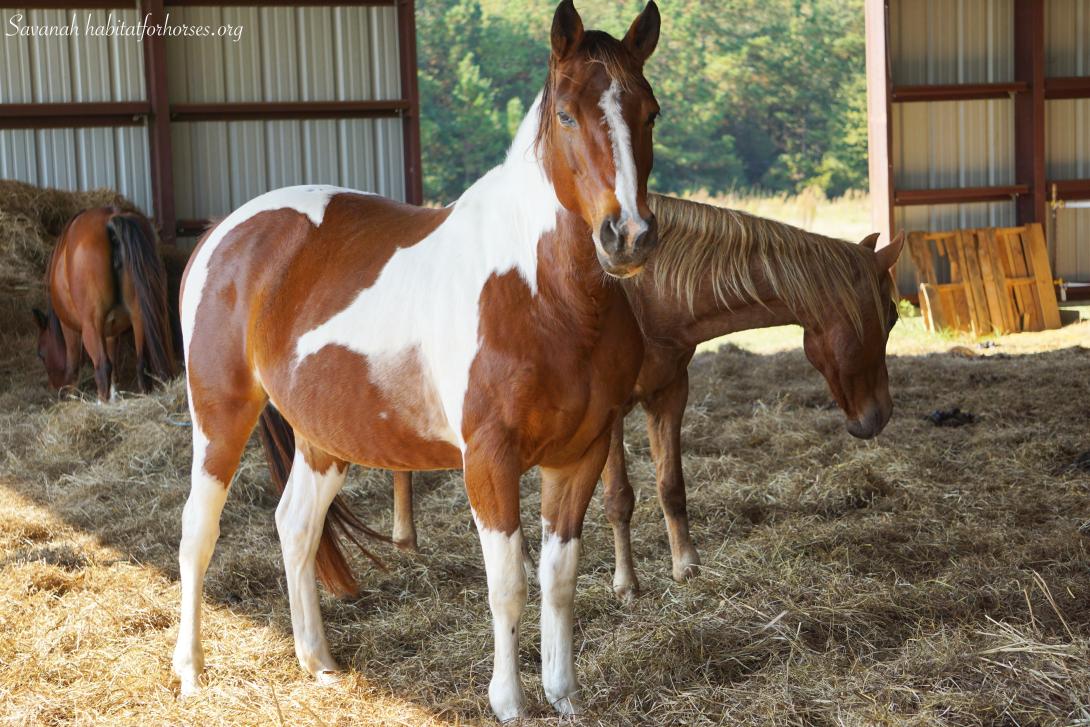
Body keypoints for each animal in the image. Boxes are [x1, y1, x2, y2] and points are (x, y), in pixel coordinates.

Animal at [34, 206, 176, 403]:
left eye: (41, 353)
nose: (54, 388)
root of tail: (111, 220)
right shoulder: (111, 331)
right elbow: (114, 365)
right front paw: (114, 398)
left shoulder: (69, 328)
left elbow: (73, 366)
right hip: (139, 317)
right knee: (141, 363)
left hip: (91, 326)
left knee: (102, 366)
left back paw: (101, 403)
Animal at [174, 1, 658, 723]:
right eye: (568, 115)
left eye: (650, 112)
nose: (627, 237)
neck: (546, 294)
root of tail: (222, 234)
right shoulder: (489, 459)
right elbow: (508, 584)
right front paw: (509, 702)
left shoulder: (581, 454)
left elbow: (559, 579)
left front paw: (565, 695)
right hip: (221, 417)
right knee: (196, 531)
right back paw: (191, 671)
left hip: (323, 436)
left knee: (295, 525)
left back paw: (318, 661)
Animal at [383, 192, 902, 597]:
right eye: (893, 315)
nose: (879, 417)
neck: (647, 296)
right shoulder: (609, 414)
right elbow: (619, 498)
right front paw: (626, 583)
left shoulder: (670, 392)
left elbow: (671, 485)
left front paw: (686, 566)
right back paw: (410, 540)